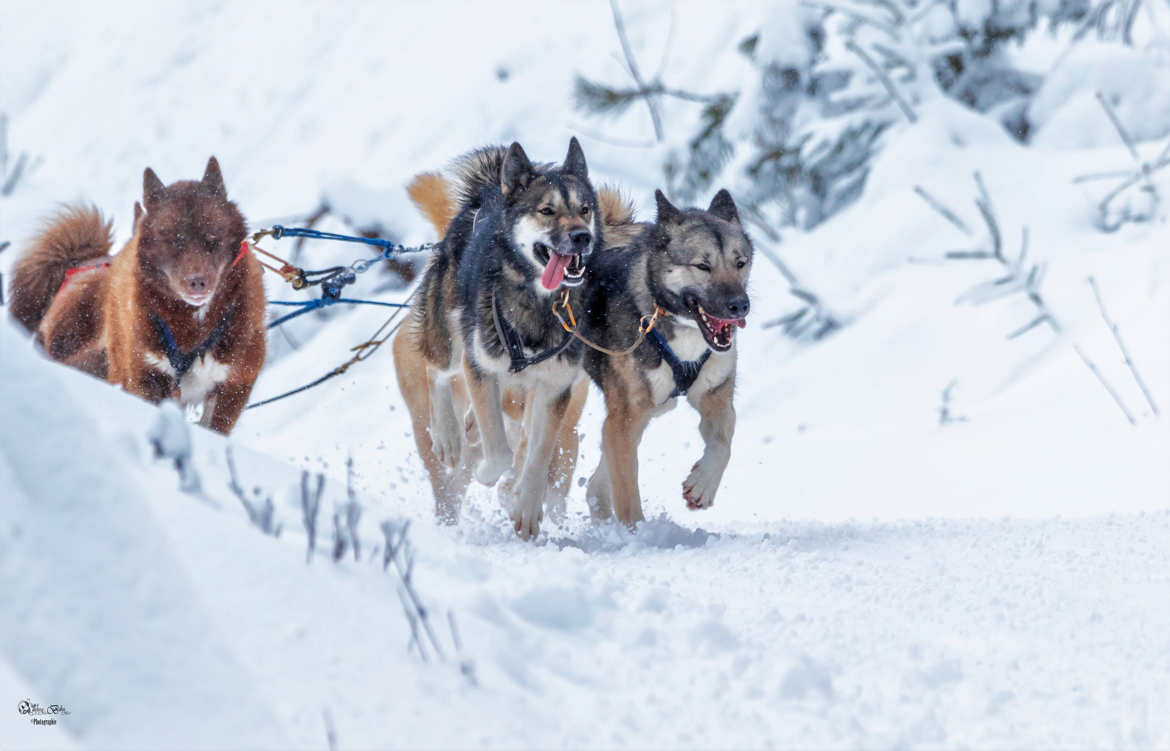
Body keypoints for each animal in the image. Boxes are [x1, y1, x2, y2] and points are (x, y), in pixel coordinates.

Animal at [9, 156, 266, 432]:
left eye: (212, 239)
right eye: (173, 241)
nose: (197, 282)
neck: (195, 325)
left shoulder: (234, 386)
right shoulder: (145, 377)